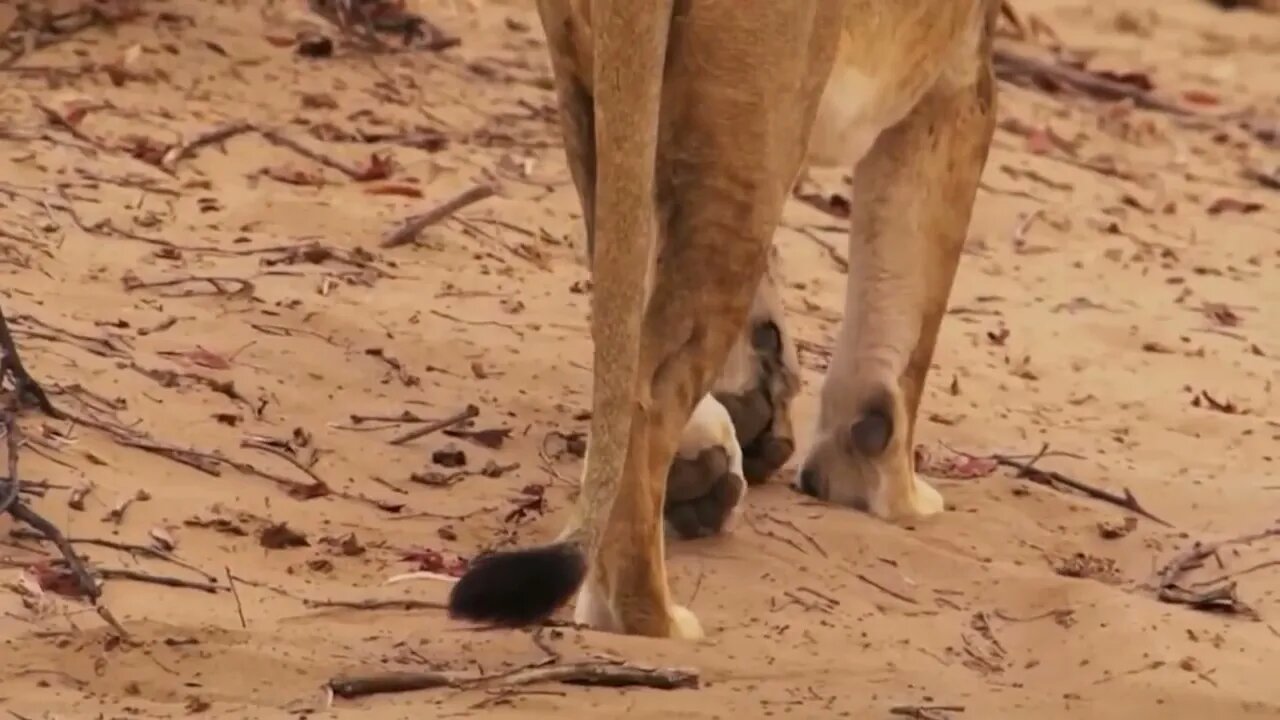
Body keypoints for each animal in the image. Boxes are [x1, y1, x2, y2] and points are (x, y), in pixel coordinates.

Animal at [448, 0, 998, 635]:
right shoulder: (958, 80)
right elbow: (906, 327)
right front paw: (891, 487)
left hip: (595, 88)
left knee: (628, 326)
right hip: (756, 138)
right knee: (651, 396)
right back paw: (650, 615)